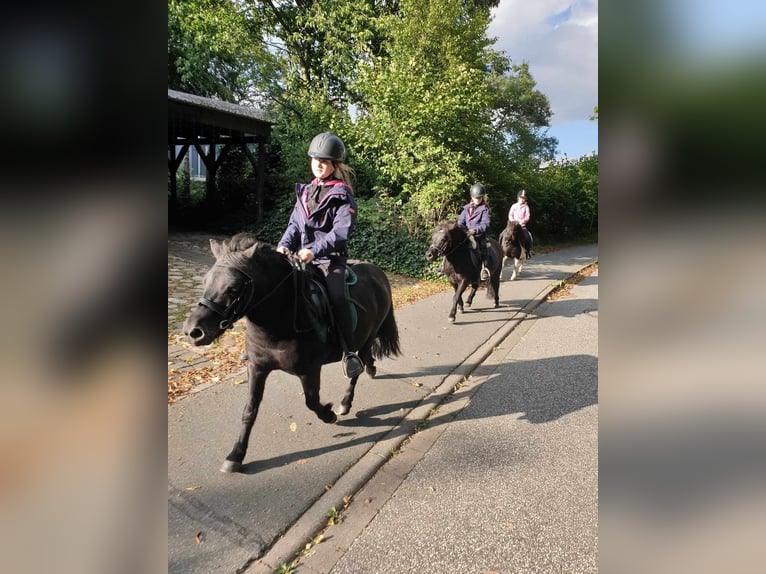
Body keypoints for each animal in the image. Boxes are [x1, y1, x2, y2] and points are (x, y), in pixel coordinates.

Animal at [184, 232, 402, 474]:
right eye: (205, 281)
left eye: (233, 288)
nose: (193, 331)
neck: (279, 323)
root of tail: (379, 273)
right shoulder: (257, 367)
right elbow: (249, 410)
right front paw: (235, 455)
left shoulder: (309, 370)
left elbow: (312, 402)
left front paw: (329, 415)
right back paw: (371, 371)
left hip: (366, 338)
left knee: (356, 369)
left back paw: (346, 402)